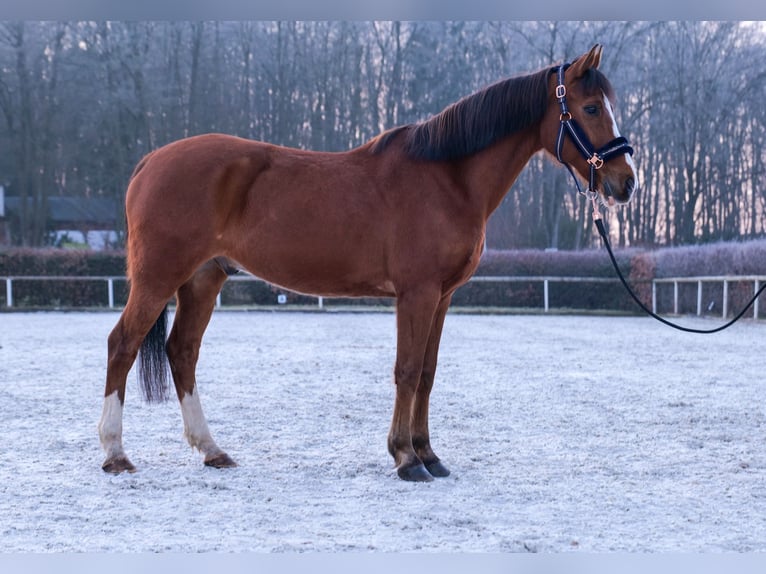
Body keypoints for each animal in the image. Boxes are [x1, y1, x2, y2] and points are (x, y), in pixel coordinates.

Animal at [99, 44, 640, 482]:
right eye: (591, 107)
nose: (626, 181)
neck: (448, 178)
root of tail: (150, 162)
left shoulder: (443, 297)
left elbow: (428, 372)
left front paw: (429, 454)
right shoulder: (416, 293)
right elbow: (407, 369)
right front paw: (405, 458)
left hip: (203, 280)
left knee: (182, 351)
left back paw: (212, 450)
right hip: (158, 277)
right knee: (123, 344)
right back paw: (115, 454)